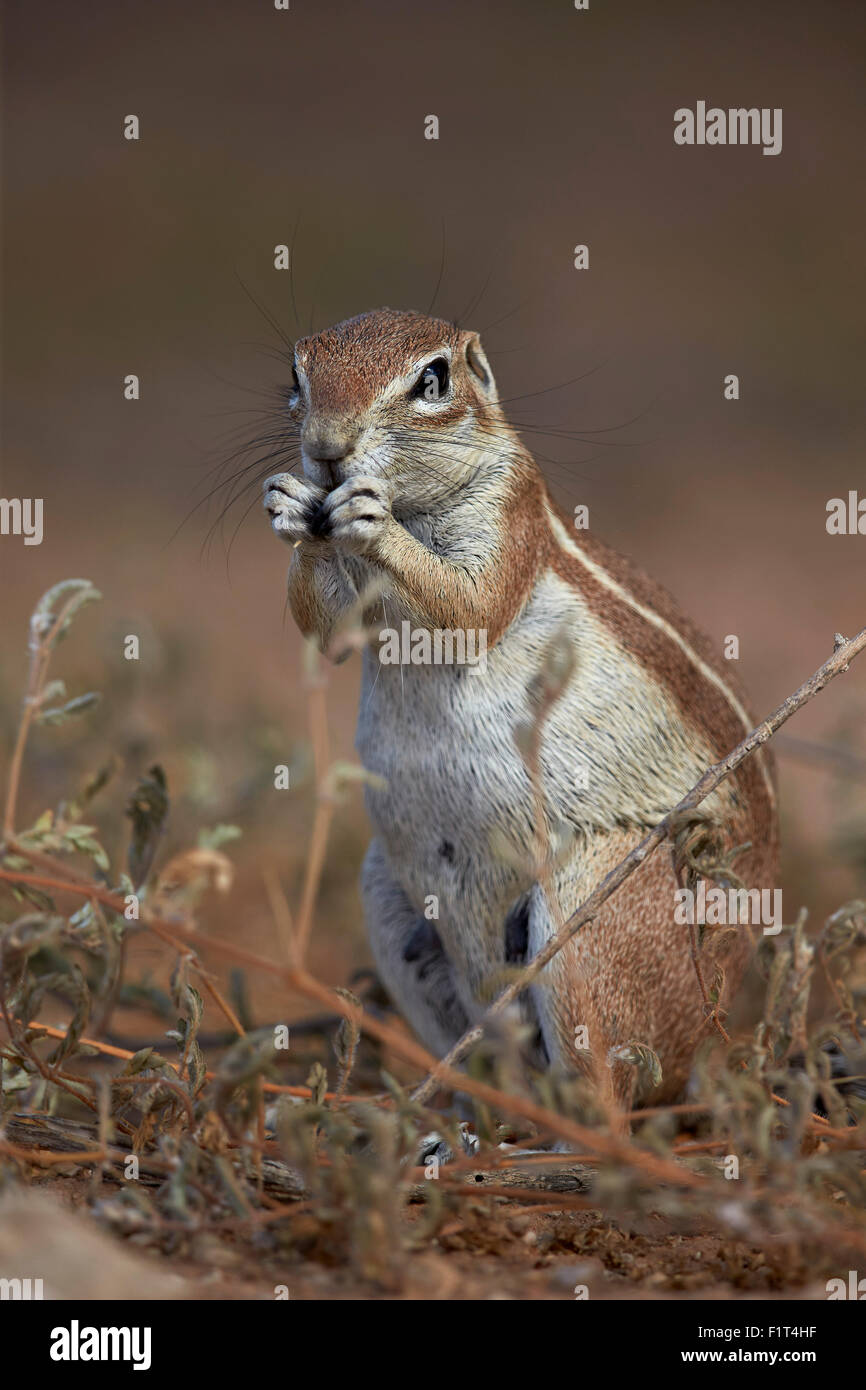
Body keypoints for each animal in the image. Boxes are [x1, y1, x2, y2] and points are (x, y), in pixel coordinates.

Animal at [262, 309, 778, 1112]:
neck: (417, 504)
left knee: (608, 1093)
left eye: (433, 379)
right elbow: (331, 632)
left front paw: (372, 521)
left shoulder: (509, 508)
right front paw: (291, 506)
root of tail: (716, 1039)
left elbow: (470, 606)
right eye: (297, 373)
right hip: (387, 893)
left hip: (597, 909)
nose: (325, 450)